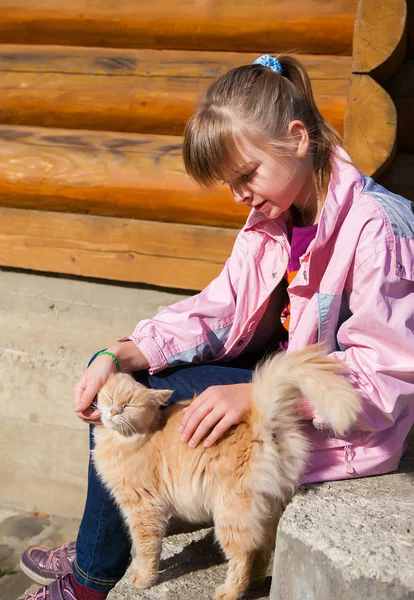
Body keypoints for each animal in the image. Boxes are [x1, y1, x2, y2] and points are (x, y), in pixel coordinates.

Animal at [92, 346, 360, 600]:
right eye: (110, 396)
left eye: (129, 404)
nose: (114, 411)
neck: (131, 439)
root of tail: (261, 427)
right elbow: (141, 546)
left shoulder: (144, 507)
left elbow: (147, 547)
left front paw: (144, 578)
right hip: (266, 508)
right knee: (264, 546)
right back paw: (255, 581)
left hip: (230, 514)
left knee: (243, 554)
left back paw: (231, 591)